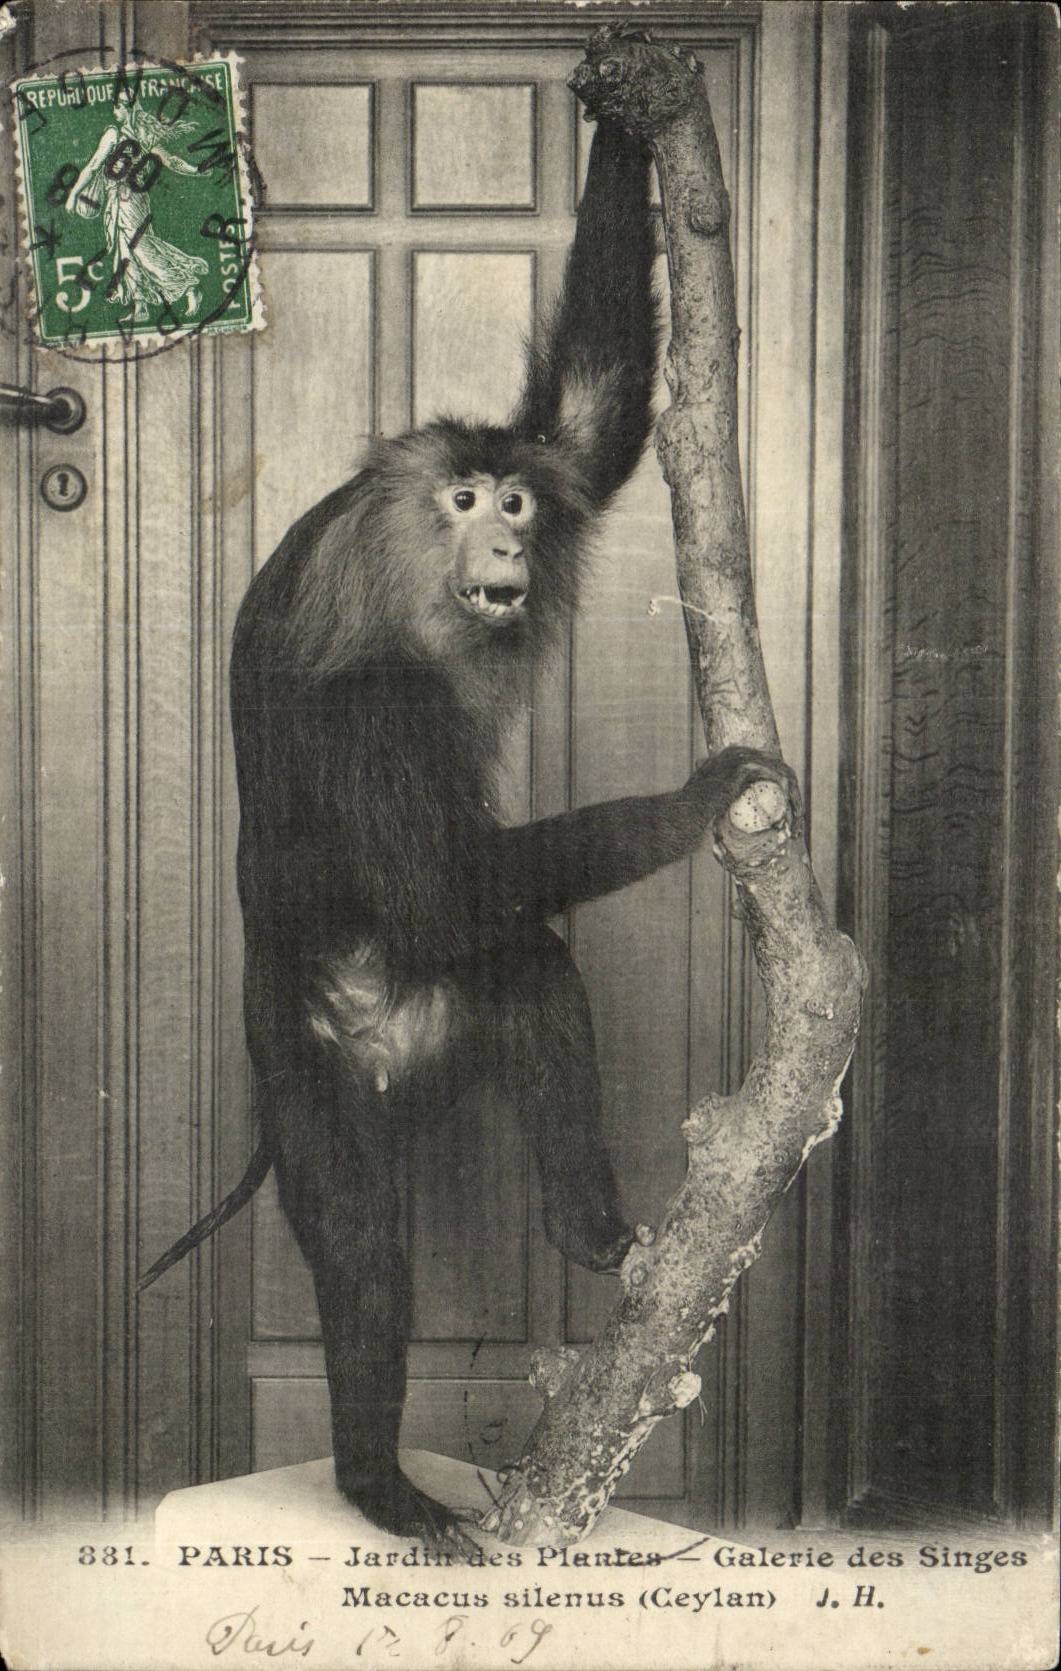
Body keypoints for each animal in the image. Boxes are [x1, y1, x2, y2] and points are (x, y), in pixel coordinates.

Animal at [139, 117, 795, 1553]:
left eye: (511, 497)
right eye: (459, 503)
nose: (502, 530)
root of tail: (385, 1040)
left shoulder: (558, 463)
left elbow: (590, 422)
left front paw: (628, 108)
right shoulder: (370, 702)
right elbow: (440, 887)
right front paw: (691, 804)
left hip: (442, 1020)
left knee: (528, 966)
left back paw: (590, 1229)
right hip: (302, 1065)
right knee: (364, 1253)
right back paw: (373, 1481)